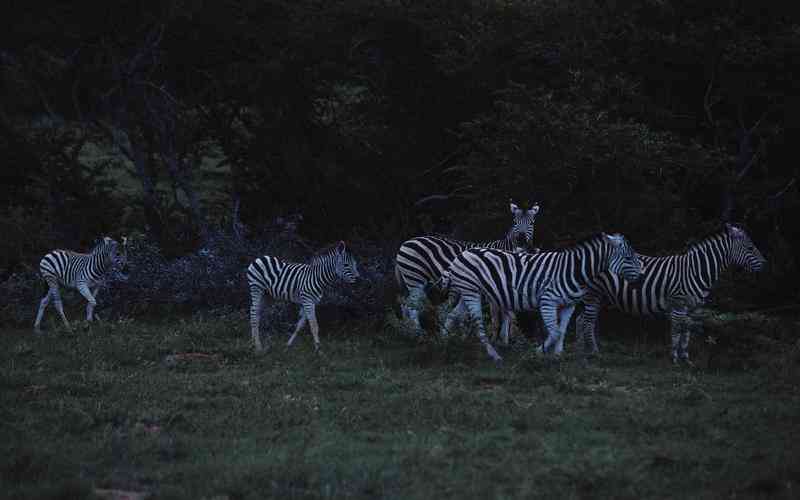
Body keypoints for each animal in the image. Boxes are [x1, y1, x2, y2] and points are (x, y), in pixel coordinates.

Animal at [394, 200, 536, 336]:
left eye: (532, 223)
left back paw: (406, 330)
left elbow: (508, 316)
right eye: (515, 222)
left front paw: (505, 339)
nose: (521, 240)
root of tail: (405, 242)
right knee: (412, 306)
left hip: (416, 281)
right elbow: (500, 317)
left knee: (405, 304)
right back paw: (417, 333)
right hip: (415, 278)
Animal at [428, 234, 640, 364]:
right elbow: (554, 332)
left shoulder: (569, 305)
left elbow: (562, 331)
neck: (573, 270)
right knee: (478, 325)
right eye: (629, 258)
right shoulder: (548, 301)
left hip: (468, 292)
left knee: (451, 316)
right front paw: (538, 353)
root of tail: (462, 254)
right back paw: (494, 356)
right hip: (471, 292)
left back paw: (444, 344)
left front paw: (557, 356)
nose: (641, 277)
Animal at [572, 223, 764, 364]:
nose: (765, 264)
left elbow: (687, 332)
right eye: (750, 247)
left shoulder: (693, 308)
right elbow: (677, 330)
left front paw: (686, 358)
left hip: (599, 297)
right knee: (587, 322)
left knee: (581, 320)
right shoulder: (678, 304)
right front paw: (674, 358)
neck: (695, 270)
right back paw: (593, 354)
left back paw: (582, 352)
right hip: (593, 295)